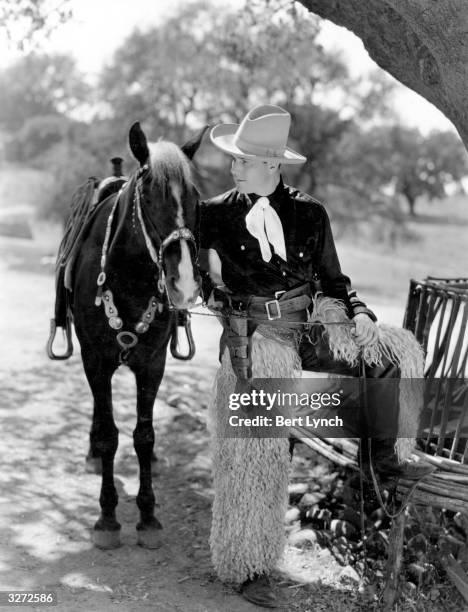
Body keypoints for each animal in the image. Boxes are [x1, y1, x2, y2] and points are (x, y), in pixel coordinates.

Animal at [50, 122, 206, 548]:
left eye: (195, 198)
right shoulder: (96, 360)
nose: (184, 281)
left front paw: (148, 516)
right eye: (149, 197)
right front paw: (107, 518)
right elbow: (108, 434)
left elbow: (144, 435)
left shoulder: (153, 363)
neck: (130, 278)